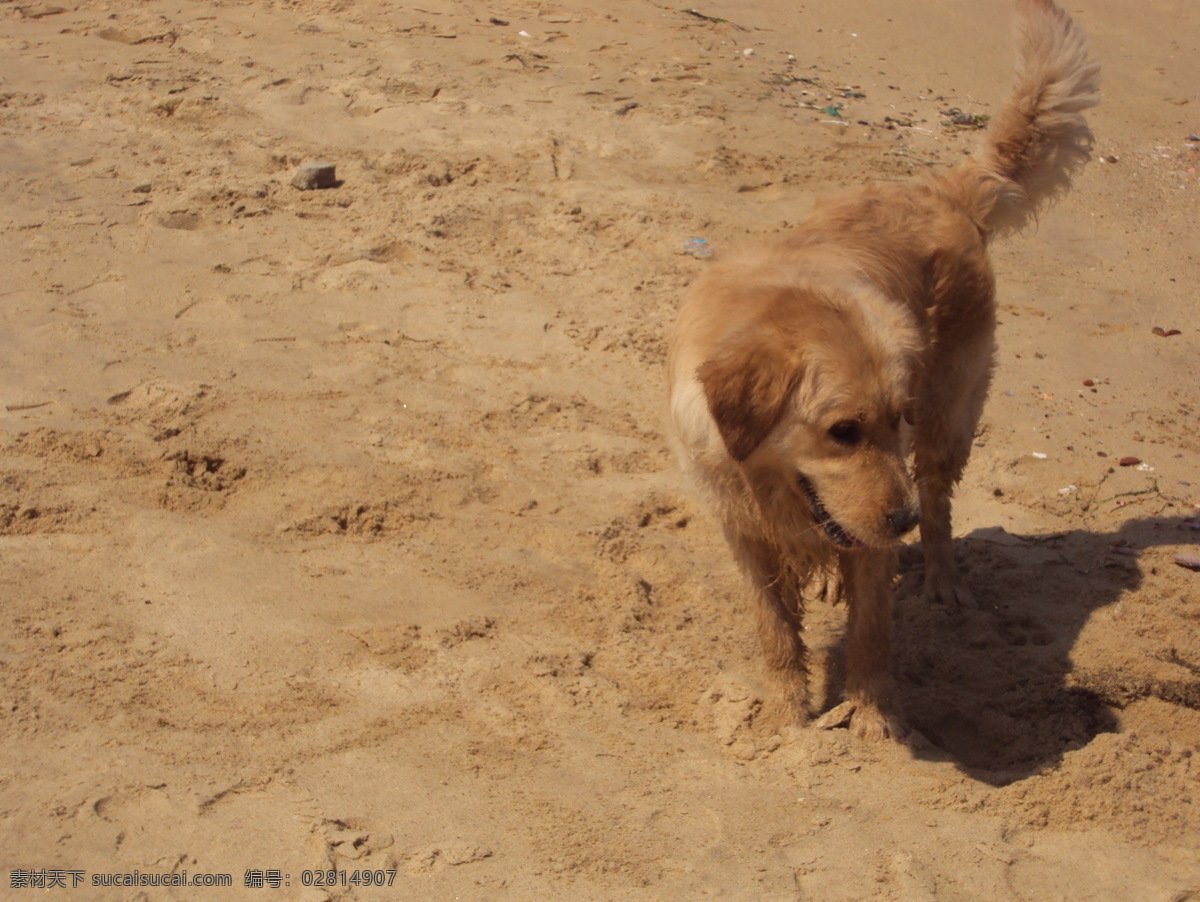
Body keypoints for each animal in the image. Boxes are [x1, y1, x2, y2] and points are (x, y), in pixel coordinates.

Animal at [672, 0, 1099, 738]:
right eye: (842, 431)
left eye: (892, 419)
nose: (898, 522)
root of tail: (939, 188)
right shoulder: (744, 533)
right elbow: (774, 631)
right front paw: (784, 713)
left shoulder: (873, 525)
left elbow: (872, 628)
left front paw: (871, 717)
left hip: (950, 414)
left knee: (940, 502)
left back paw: (942, 578)